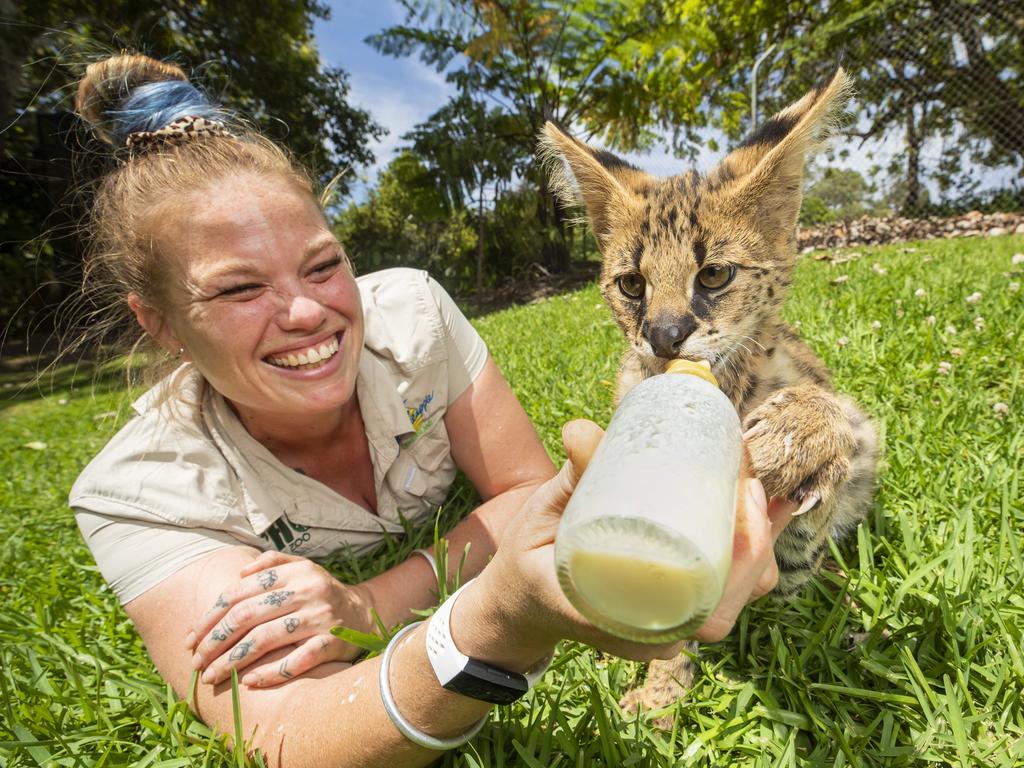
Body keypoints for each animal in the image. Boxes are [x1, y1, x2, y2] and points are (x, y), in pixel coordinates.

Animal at [540, 69, 884, 720]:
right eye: (631, 284)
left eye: (715, 275)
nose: (664, 336)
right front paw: (659, 693)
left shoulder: (791, 579)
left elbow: (806, 537)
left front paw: (799, 434)